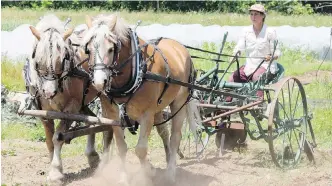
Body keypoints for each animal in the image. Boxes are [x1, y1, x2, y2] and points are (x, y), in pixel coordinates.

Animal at [27, 14, 115, 183]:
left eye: (63, 59)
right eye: (37, 61)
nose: (49, 92)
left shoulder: (71, 108)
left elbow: (58, 137)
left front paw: (56, 172)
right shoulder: (43, 112)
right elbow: (49, 141)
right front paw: (52, 166)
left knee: (110, 124)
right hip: (83, 102)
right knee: (92, 122)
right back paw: (92, 156)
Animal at [83, 14, 201, 182]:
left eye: (111, 49)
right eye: (88, 50)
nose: (100, 82)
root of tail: (181, 48)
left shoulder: (147, 115)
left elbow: (140, 149)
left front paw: (148, 173)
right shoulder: (113, 115)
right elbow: (121, 148)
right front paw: (124, 178)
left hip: (179, 103)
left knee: (175, 137)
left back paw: (170, 173)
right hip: (159, 108)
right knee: (164, 132)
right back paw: (167, 160)